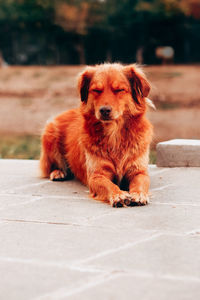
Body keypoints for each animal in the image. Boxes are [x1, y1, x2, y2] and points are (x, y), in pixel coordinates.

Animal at [39, 63, 154, 206]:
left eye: (119, 90)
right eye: (96, 90)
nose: (104, 110)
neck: (114, 135)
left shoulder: (139, 171)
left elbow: (140, 182)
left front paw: (138, 194)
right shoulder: (96, 176)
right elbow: (109, 185)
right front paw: (118, 194)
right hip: (50, 133)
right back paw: (58, 172)